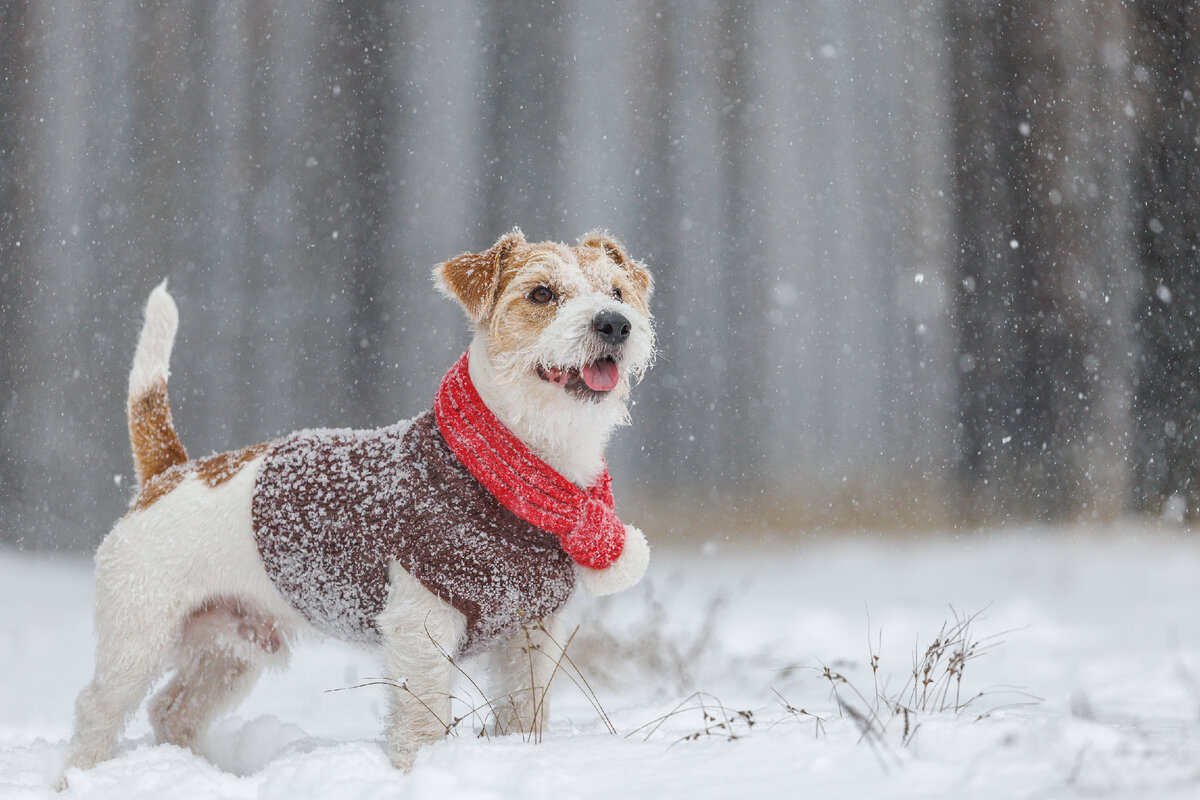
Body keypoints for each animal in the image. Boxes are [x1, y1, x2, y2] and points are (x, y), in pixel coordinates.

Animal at [65, 230, 657, 777]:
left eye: (617, 290)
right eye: (541, 293)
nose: (615, 323)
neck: (515, 471)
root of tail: (170, 472)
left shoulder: (532, 632)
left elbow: (525, 710)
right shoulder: (421, 628)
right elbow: (422, 720)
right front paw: (420, 769)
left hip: (229, 649)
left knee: (172, 709)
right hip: (138, 636)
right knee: (98, 710)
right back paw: (83, 774)